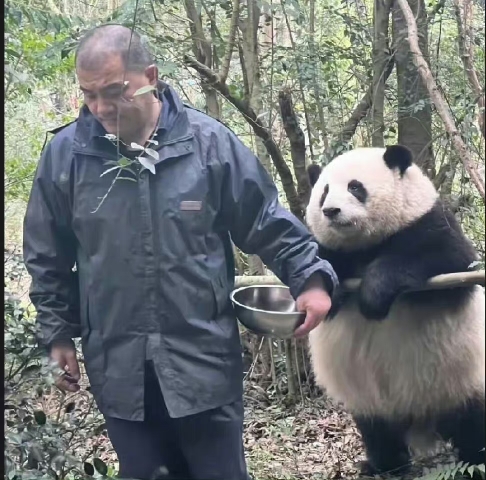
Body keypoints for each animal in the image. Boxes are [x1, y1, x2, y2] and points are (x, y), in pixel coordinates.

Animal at [306, 145, 484, 476]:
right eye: (323, 192)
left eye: (355, 187)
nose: (331, 211)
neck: (364, 246)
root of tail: (422, 423)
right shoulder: (331, 250)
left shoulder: (428, 223)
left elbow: (445, 258)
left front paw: (372, 297)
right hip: (369, 399)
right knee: (378, 432)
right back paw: (381, 467)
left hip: (462, 378)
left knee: (473, 421)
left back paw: (476, 460)